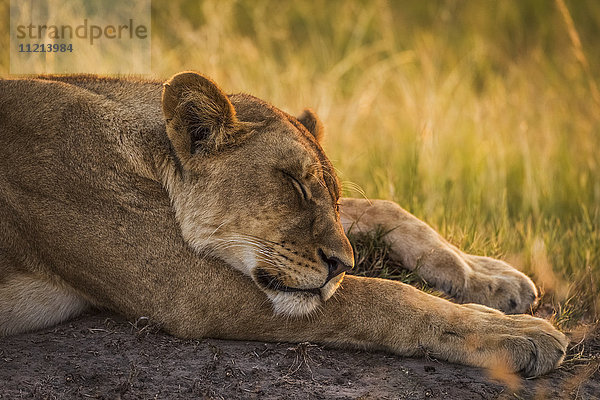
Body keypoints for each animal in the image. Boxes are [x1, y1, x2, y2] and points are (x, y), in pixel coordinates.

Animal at [0, 72, 568, 378]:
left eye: (330, 197)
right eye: (292, 185)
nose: (341, 265)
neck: (151, 153)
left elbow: (386, 208)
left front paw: (492, 278)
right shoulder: (186, 290)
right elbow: (385, 296)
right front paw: (517, 333)